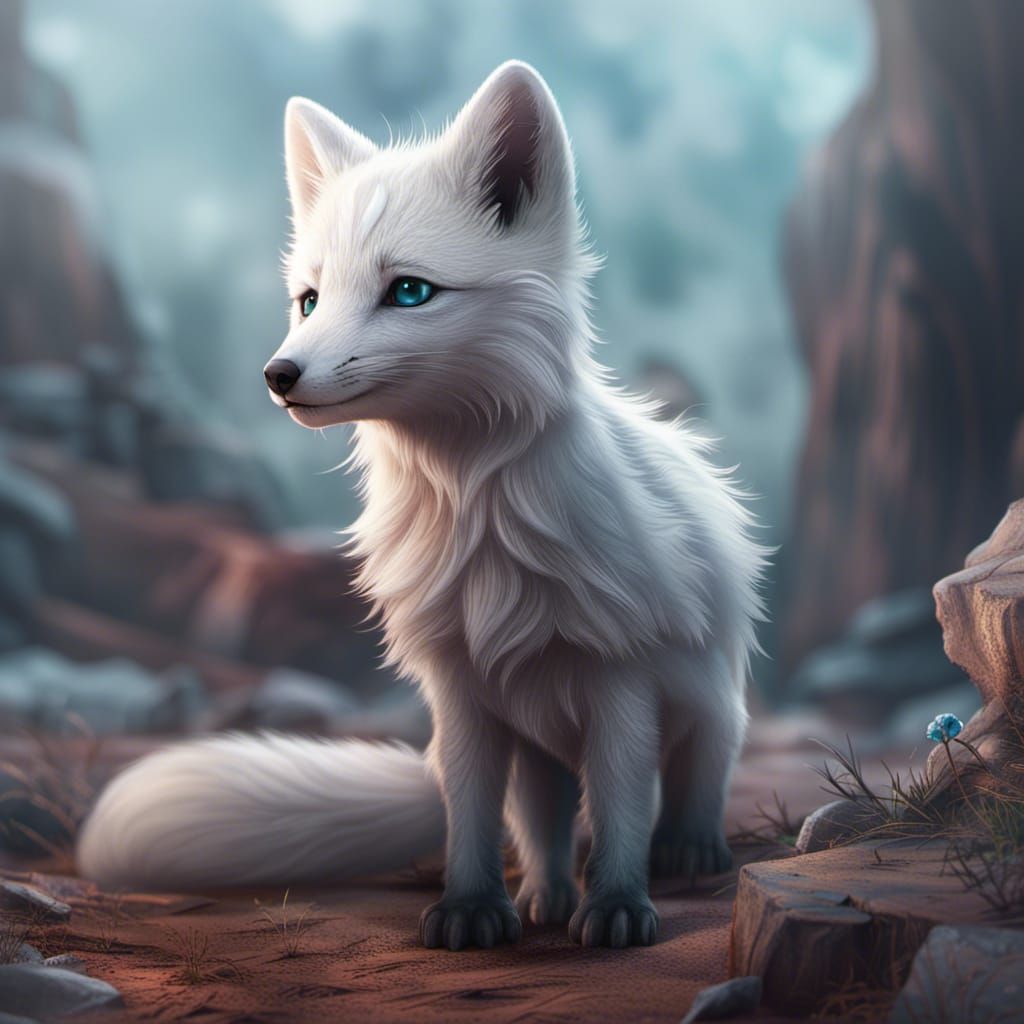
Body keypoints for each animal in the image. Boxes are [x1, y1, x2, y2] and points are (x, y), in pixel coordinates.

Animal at [76, 61, 768, 950]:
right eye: (309, 299)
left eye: (408, 292)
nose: (279, 375)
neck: (476, 512)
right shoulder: (462, 690)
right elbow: (469, 816)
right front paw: (472, 912)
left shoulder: (621, 678)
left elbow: (619, 810)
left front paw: (618, 906)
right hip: (535, 745)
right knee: (541, 823)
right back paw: (545, 897)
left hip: (707, 705)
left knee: (695, 779)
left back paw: (688, 852)